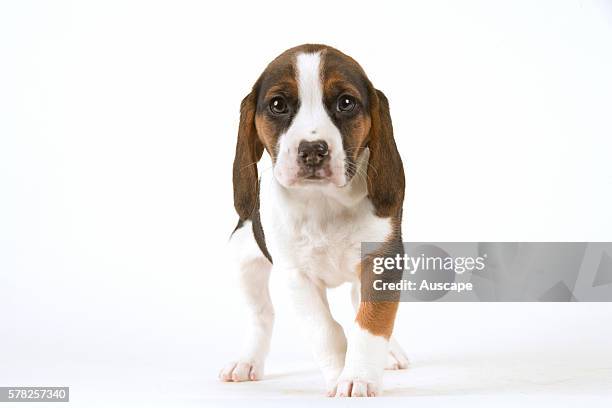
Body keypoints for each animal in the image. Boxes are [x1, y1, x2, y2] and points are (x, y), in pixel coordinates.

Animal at [220, 43, 406, 396]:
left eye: (345, 102)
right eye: (278, 105)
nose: (312, 150)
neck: (324, 201)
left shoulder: (381, 261)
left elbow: (371, 322)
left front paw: (359, 376)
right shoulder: (297, 275)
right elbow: (325, 331)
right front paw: (338, 375)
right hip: (243, 261)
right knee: (261, 315)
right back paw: (247, 361)